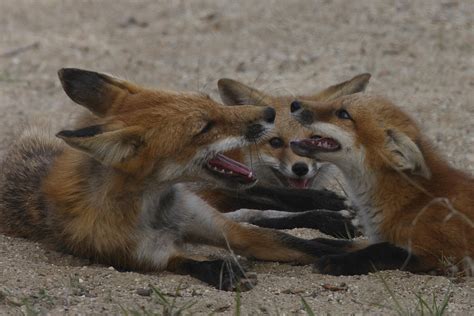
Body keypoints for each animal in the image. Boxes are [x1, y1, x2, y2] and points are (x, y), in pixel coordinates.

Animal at [0, 68, 342, 290]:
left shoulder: (224, 229)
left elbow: (297, 243)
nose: (270, 113)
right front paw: (223, 270)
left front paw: (345, 251)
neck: (157, 210)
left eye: (210, 100)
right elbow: (189, 262)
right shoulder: (144, 257)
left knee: (256, 207)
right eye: (204, 127)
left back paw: (326, 211)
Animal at [290, 95, 472, 276]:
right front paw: (320, 244)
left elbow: (379, 251)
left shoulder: (439, 253)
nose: (294, 103)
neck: (408, 201)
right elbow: (350, 244)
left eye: (343, 114)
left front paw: (336, 262)